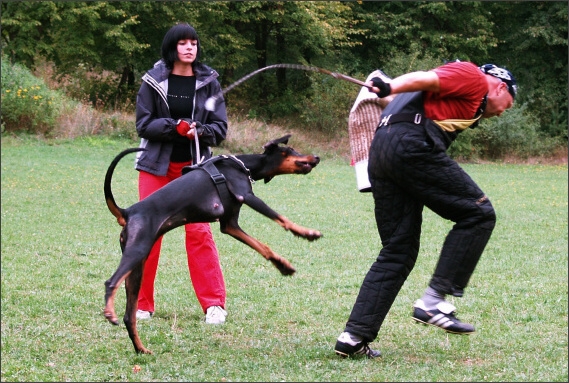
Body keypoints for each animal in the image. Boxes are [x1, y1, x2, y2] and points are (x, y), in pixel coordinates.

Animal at [103, 134, 320, 354]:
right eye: (291, 149)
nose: (317, 156)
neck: (244, 166)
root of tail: (128, 212)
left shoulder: (230, 225)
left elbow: (262, 246)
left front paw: (282, 265)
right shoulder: (247, 196)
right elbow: (281, 218)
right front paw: (307, 233)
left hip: (137, 269)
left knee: (129, 316)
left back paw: (141, 348)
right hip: (137, 252)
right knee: (110, 282)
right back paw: (110, 313)